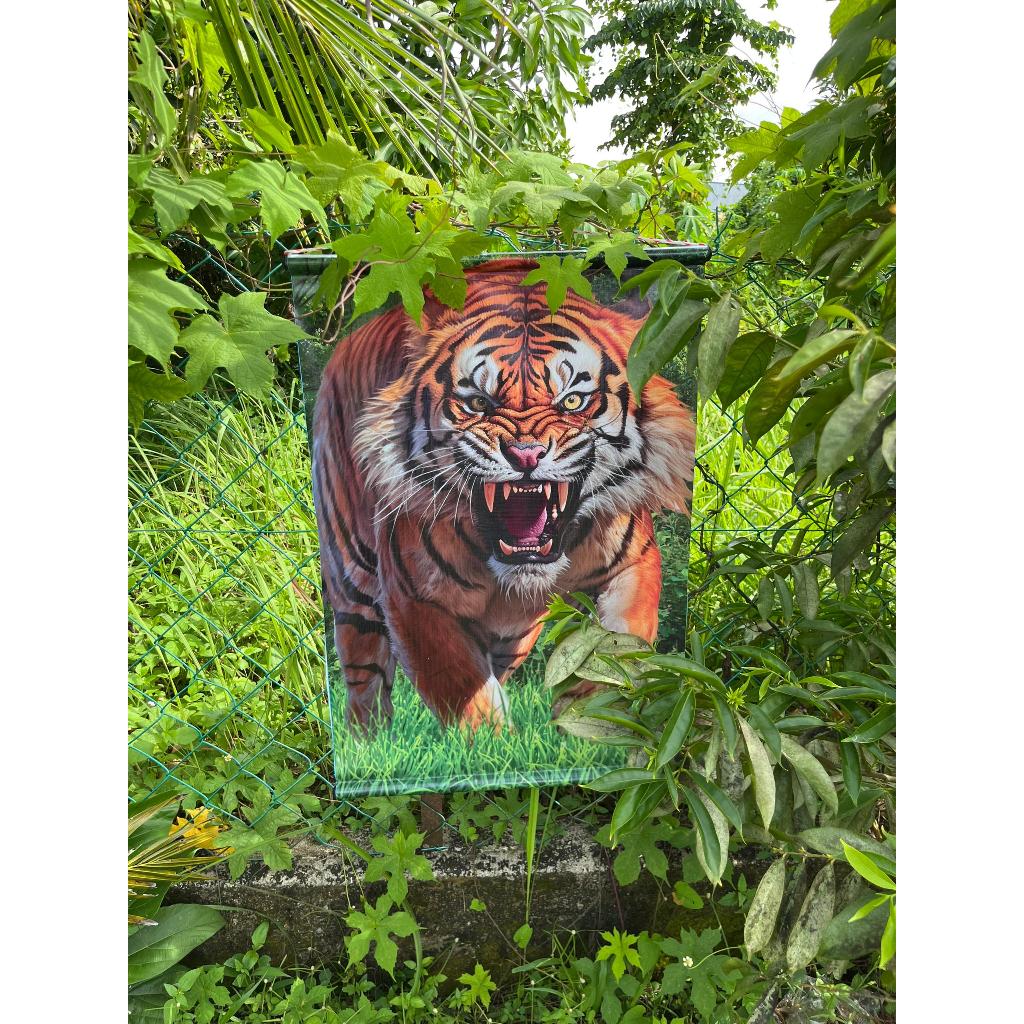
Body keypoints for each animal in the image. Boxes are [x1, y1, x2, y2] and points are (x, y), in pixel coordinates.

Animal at [311, 257, 695, 733]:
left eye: (572, 401)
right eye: (478, 402)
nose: (525, 454)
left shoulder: (631, 567)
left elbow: (615, 654)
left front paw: (593, 727)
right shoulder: (415, 597)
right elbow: (462, 690)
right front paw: (494, 743)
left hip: (514, 632)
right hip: (353, 581)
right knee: (365, 678)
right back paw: (368, 740)